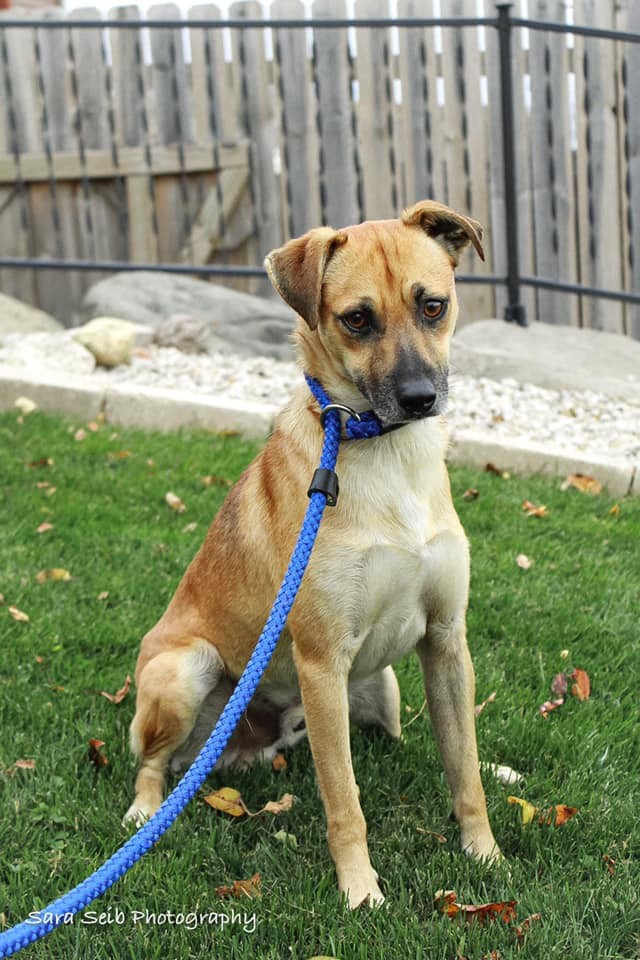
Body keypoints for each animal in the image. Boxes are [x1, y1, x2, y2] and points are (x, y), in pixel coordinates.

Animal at [124, 201, 500, 908]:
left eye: (432, 306)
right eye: (357, 319)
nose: (420, 398)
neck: (387, 455)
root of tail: (245, 747)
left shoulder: (445, 637)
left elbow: (462, 766)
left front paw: (485, 852)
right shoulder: (322, 662)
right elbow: (344, 801)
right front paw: (360, 892)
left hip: (382, 687)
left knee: (409, 740)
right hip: (186, 671)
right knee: (153, 763)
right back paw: (144, 810)